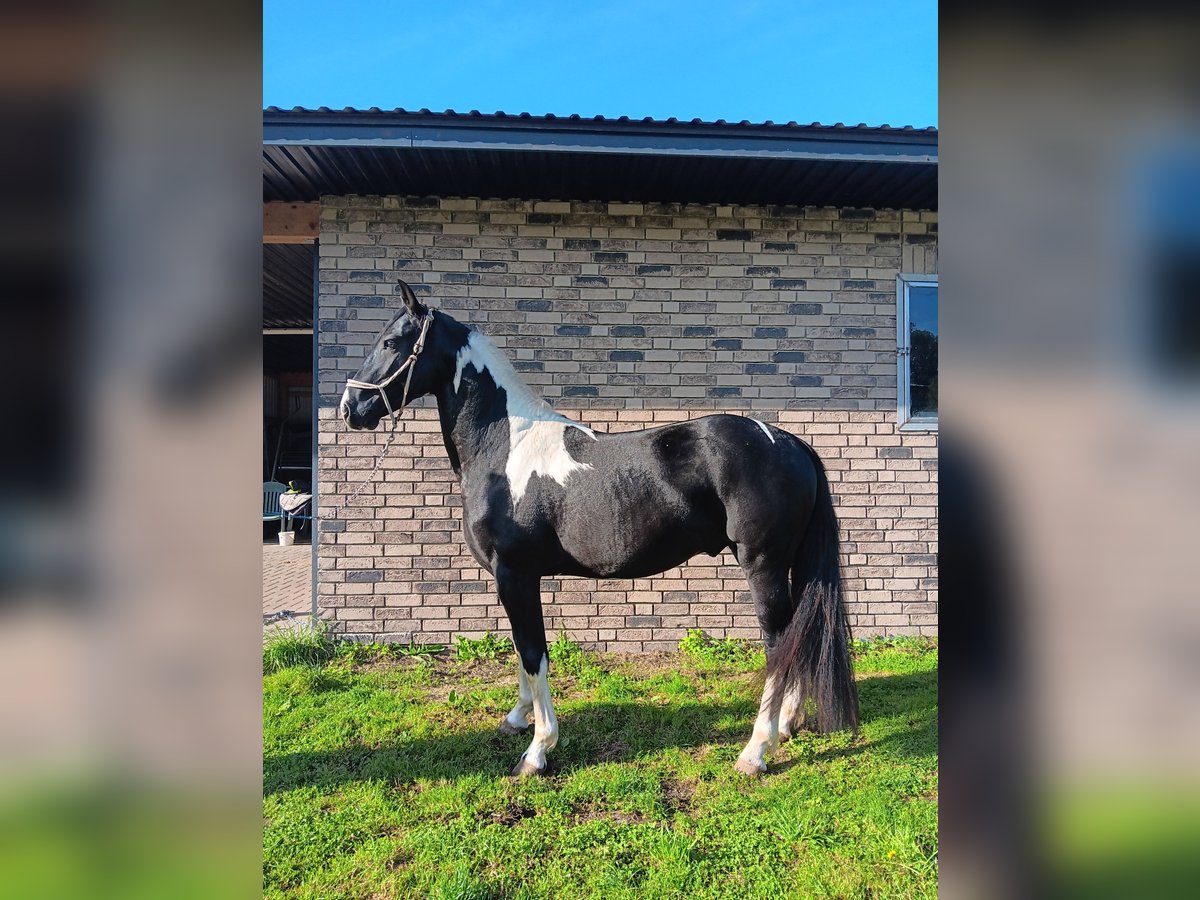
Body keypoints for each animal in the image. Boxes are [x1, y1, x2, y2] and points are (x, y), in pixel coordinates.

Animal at [343, 285, 859, 777]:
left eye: (390, 342)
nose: (351, 407)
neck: (504, 446)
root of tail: (790, 442)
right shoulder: (512, 579)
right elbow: (522, 652)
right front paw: (517, 719)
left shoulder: (515, 575)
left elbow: (533, 653)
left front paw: (537, 751)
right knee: (796, 638)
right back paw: (787, 724)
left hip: (763, 564)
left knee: (777, 644)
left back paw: (755, 751)